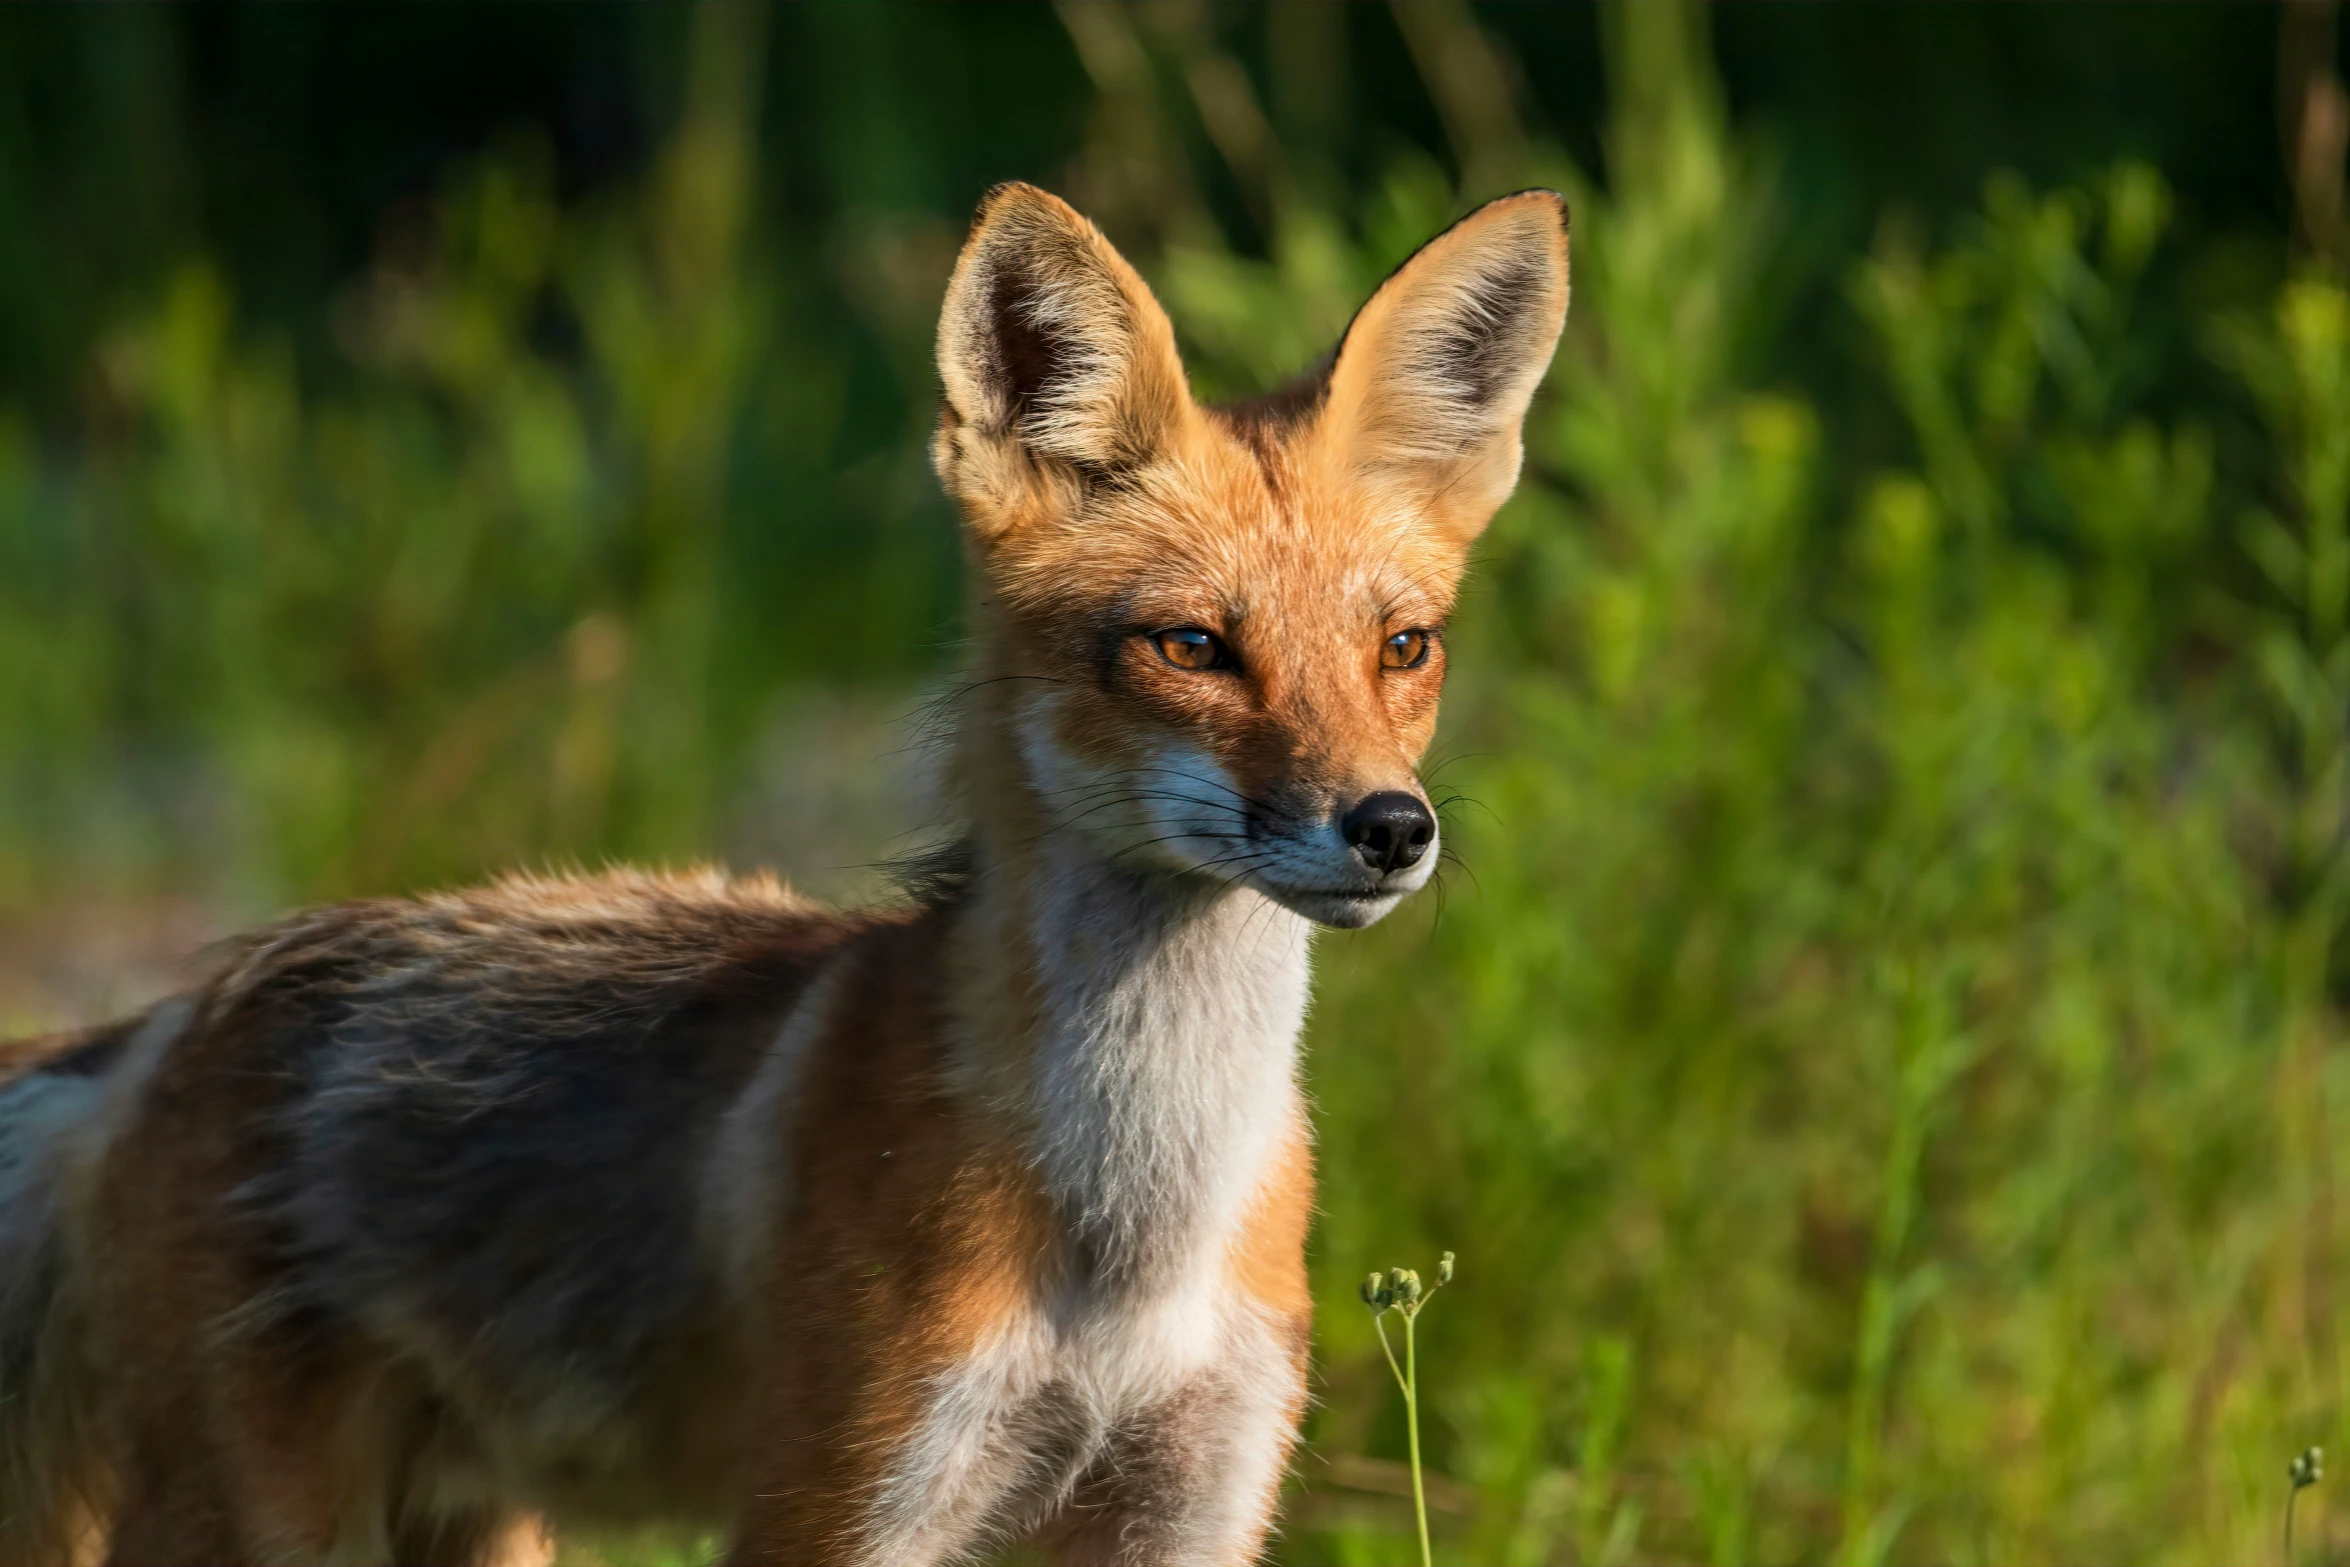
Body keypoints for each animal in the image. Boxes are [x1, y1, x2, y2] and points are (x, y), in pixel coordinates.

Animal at [4, 184, 1579, 1567]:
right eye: (1191, 646)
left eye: (1404, 647)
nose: (1390, 827)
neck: (1128, 1241)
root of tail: (159, 1025)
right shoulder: (845, 1498)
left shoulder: (1192, 1499)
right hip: (261, 1527)